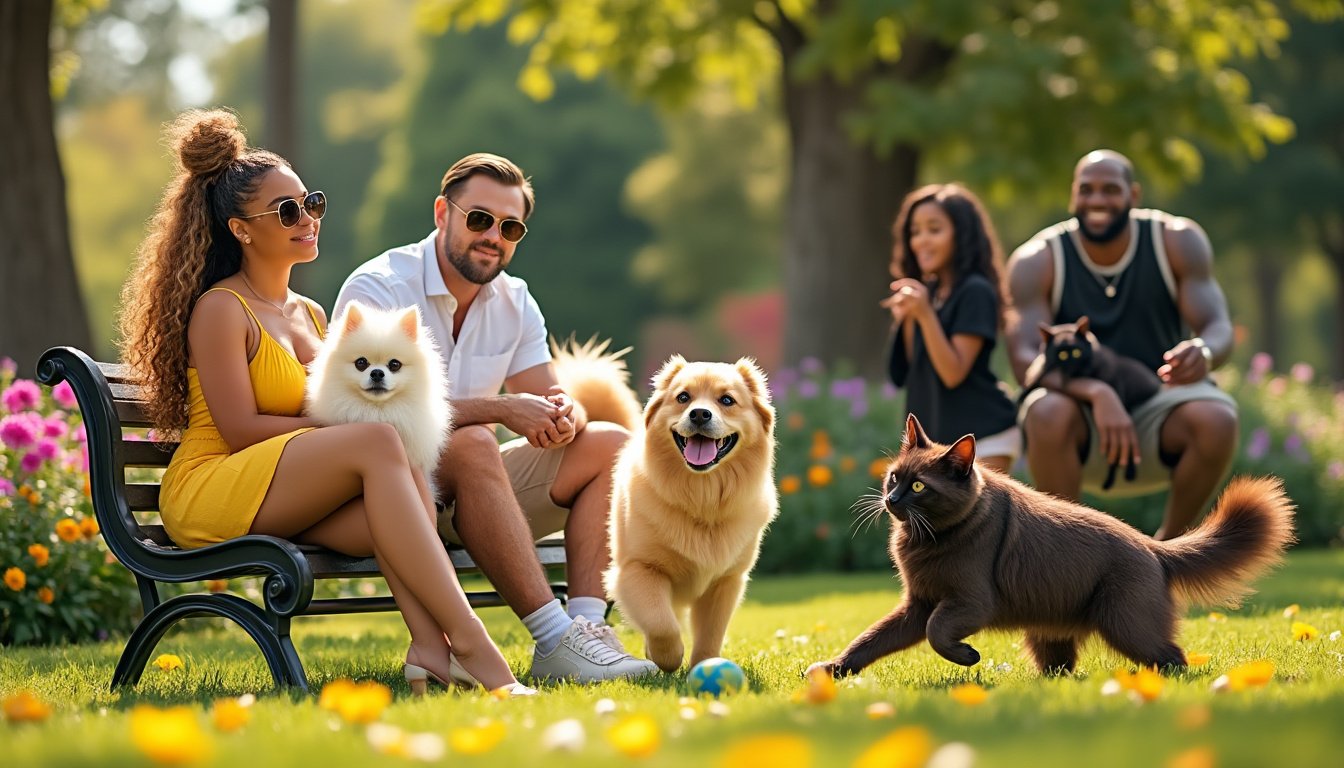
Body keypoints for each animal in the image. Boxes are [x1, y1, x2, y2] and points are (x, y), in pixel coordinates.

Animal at [602, 355, 779, 672]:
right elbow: (661, 625)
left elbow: (711, 635)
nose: (698, 414)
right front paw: (667, 658)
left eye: (727, 400)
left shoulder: (726, 582)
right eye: (683, 397)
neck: (702, 498)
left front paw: (703, 665)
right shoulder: (638, 569)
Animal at [806, 414, 1290, 677]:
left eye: (920, 486)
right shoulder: (917, 602)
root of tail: (1154, 548)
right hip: (1050, 630)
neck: (926, 540)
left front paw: (967, 657)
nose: (892, 500)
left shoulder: (968, 601)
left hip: (1127, 622)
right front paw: (831, 671)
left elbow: (937, 632)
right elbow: (871, 639)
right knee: (1063, 667)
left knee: (1173, 657)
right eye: (894, 477)